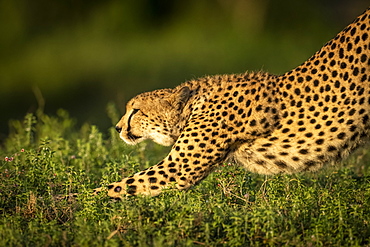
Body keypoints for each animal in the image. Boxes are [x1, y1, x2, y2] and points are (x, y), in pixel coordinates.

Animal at [97, 7, 370, 199]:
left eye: (135, 110)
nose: (117, 128)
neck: (194, 104)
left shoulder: (177, 169)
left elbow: (116, 188)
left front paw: (86, 207)